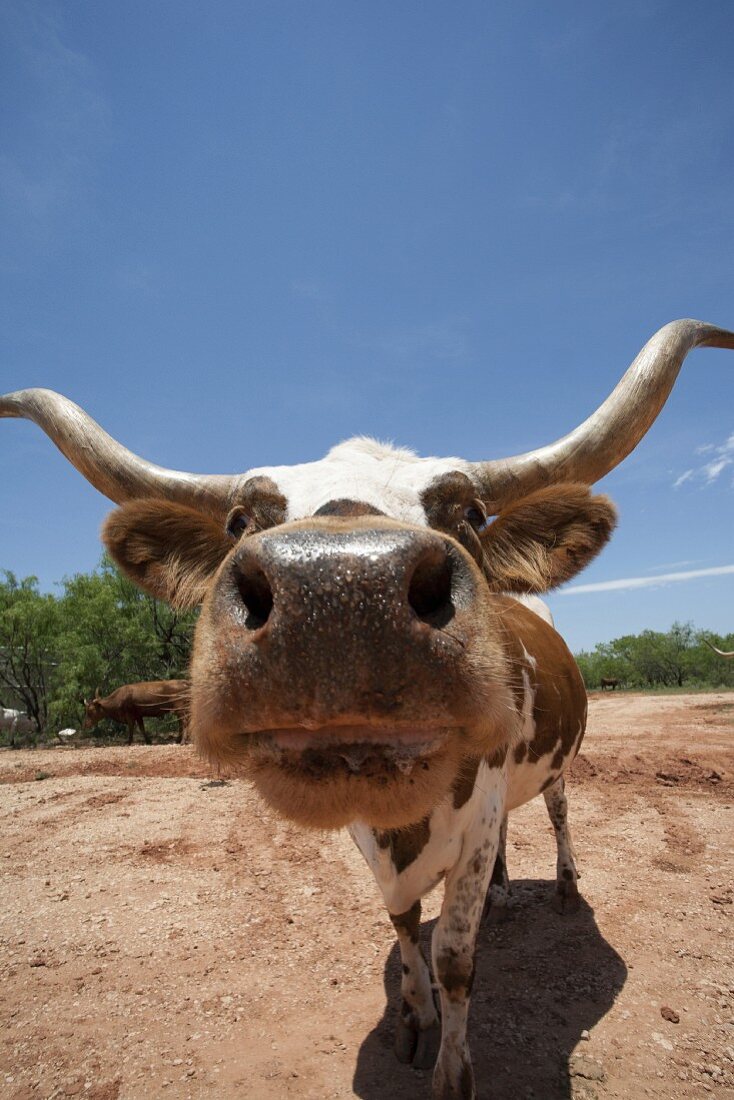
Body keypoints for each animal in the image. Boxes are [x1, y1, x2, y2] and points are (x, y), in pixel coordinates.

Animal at [1, 321, 734, 1100]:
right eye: (238, 518)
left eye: (471, 512)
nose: (340, 594)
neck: (407, 820)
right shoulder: (378, 835)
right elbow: (405, 923)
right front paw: (413, 1017)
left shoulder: (477, 821)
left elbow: (455, 959)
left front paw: (452, 1069)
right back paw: (505, 890)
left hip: (559, 764)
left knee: (561, 815)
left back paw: (563, 888)